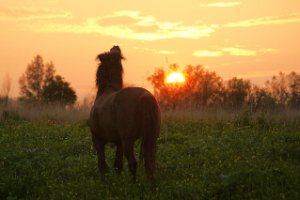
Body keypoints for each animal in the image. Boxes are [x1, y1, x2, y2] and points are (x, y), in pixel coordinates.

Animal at [89, 45, 161, 181]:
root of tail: (145, 97)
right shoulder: (119, 142)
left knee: (133, 163)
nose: (115, 46)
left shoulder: (97, 140)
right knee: (150, 162)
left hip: (128, 140)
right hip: (151, 137)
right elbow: (118, 165)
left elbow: (102, 164)